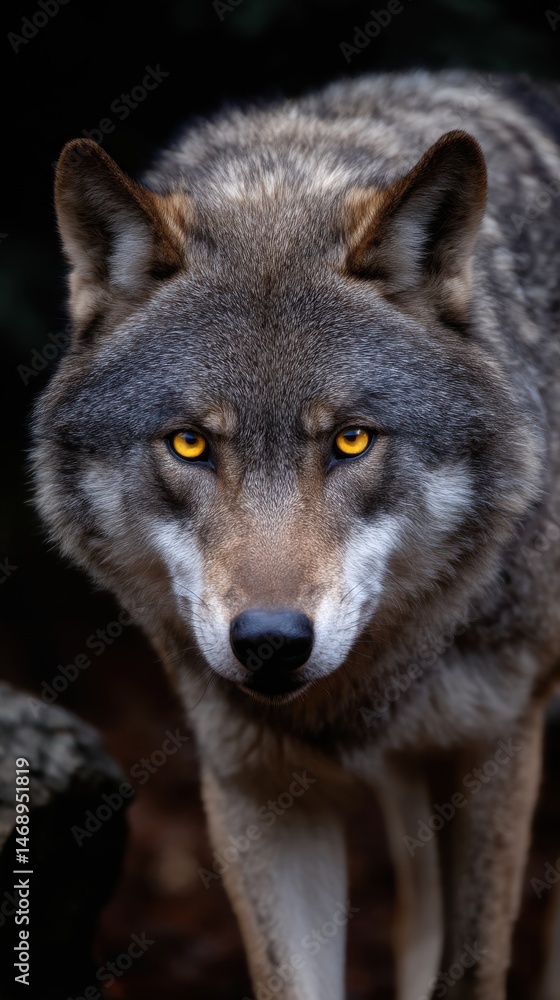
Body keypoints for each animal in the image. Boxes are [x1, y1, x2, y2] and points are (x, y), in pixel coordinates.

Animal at [33, 70, 560, 999]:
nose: (271, 642)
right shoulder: (254, 782)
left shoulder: (503, 740)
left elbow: (472, 972)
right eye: (190, 443)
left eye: (350, 440)